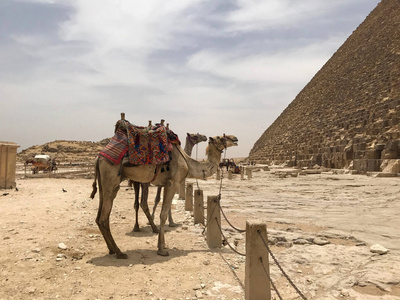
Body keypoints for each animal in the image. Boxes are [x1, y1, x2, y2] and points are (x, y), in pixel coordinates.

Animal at [90, 126, 238, 258]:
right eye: (221, 137)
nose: (235, 138)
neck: (187, 162)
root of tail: (99, 158)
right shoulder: (173, 183)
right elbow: (163, 214)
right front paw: (161, 249)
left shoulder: (166, 184)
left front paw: (162, 244)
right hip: (111, 178)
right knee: (104, 218)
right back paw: (119, 252)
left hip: (105, 183)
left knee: (100, 216)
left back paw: (112, 249)